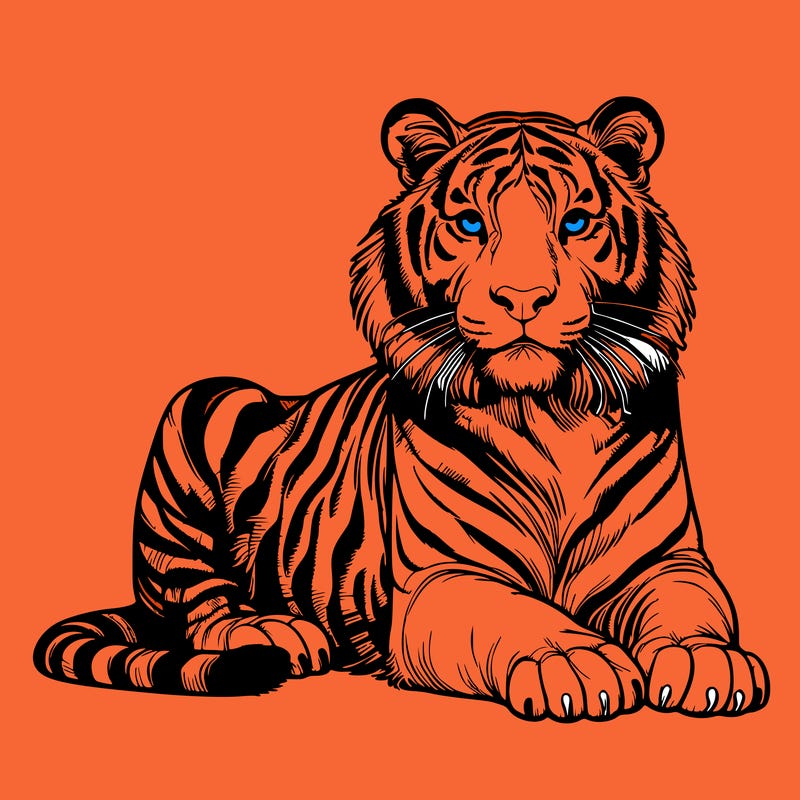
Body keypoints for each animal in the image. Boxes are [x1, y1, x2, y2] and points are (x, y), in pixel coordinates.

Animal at [35, 97, 769, 720]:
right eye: (470, 223)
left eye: (576, 224)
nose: (523, 298)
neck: (551, 414)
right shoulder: (444, 578)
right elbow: (517, 614)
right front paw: (574, 661)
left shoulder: (669, 559)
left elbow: (692, 608)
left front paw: (709, 662)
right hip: (206, 401)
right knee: (198, 602)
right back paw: (274, 631)